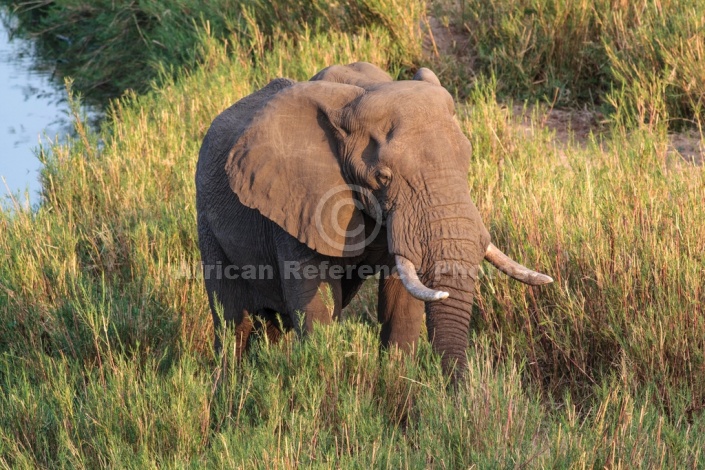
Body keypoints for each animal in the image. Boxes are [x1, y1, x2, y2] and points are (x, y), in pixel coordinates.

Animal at [195, 62, 552, 378]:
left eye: (467, 160)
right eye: (383, 177)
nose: (458, 396)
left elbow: (401, 305)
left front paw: (398, 387)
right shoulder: (297, 205)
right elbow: (316, 308)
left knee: (269, 327)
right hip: (207, 220)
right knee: (232, 323)